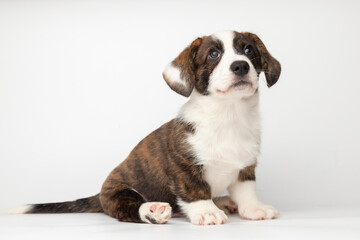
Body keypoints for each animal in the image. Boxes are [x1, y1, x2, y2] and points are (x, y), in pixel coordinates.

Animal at [7, 29, 280, 225]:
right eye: (213, 54)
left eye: (248, 50)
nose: (240, 66)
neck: (229, 115)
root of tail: (99, 195)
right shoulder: (185, 168)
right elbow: (196, 192)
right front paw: (207, 212)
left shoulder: (245, 168)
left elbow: (246, 192)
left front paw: (254, 209)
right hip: (119, 192)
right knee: (128, 209)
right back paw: (153, 210)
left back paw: (222, 201)